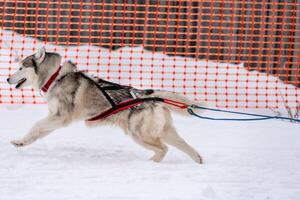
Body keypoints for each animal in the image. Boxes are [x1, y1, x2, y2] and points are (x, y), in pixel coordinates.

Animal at [7, 47, 203, 163]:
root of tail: (148, 95)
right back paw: (198, 161)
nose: (8, 78)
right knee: (186, 147)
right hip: (165, 132)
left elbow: (36, 125)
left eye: (20, 67)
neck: (55, 77)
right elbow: (37, 133)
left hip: (139, 134)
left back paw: (150, 164)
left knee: (164, 148)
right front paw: (21, 142)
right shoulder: (54, 119)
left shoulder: (61, 118)